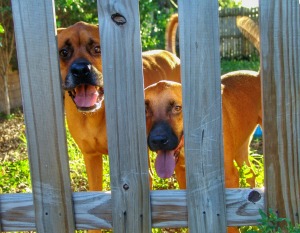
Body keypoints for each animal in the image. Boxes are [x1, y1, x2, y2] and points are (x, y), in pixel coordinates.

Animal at [57, 21, 182, 193]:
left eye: (97, 49)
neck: (95, 115)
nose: (81, 70)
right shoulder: (91, 158)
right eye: (64, 52)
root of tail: (169, 54)